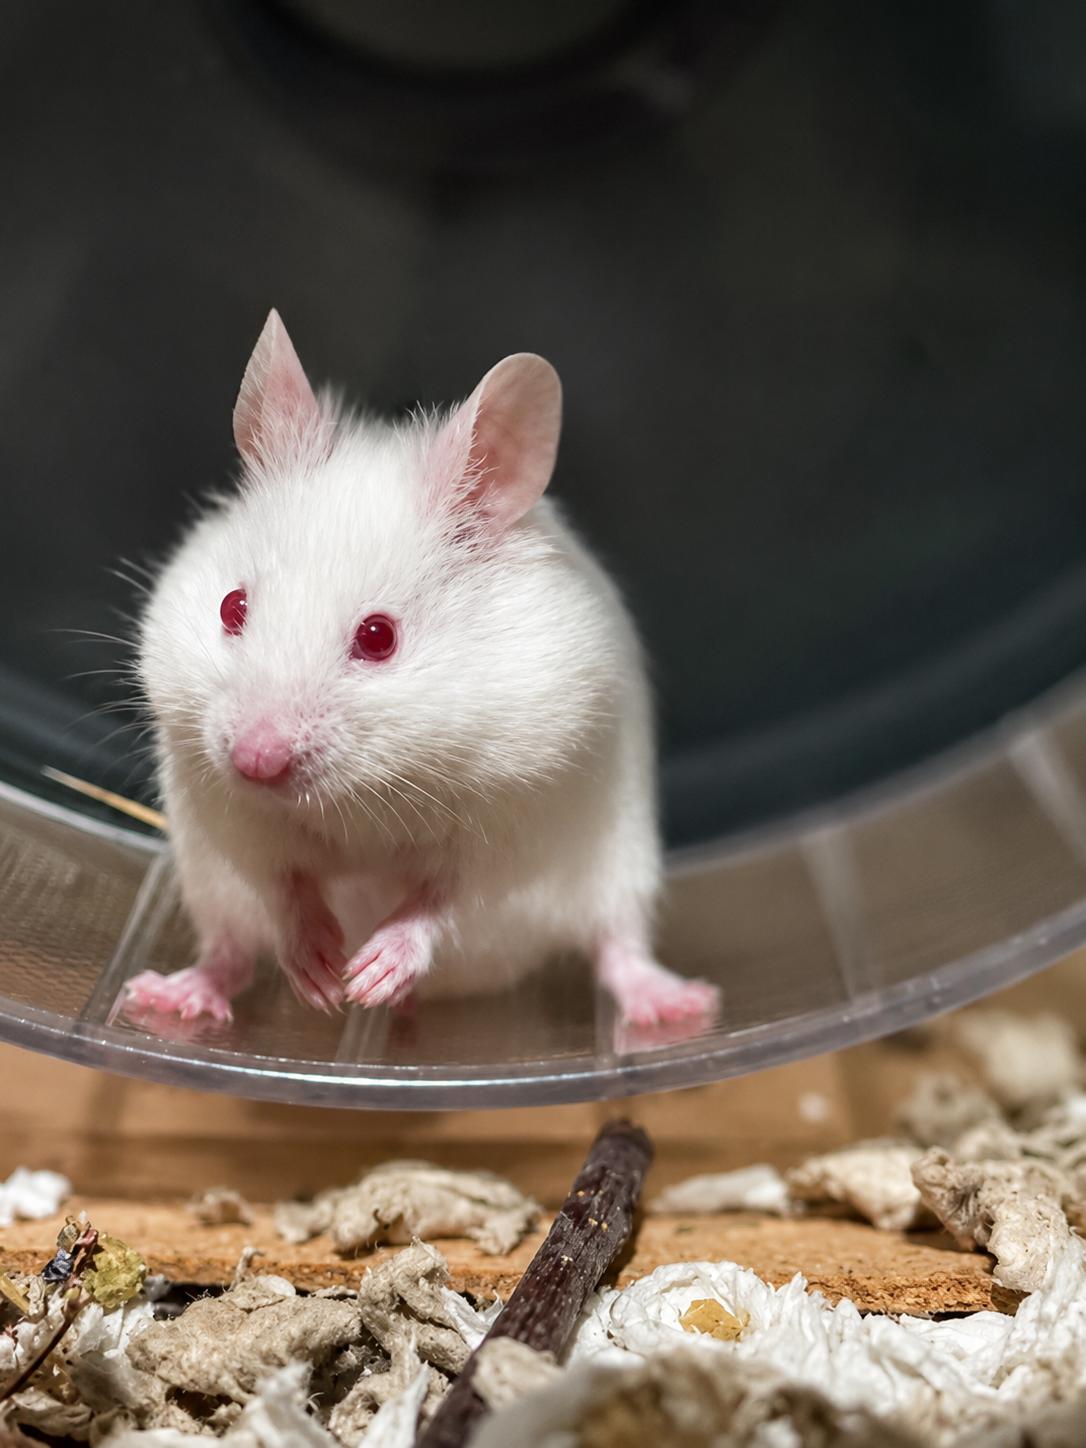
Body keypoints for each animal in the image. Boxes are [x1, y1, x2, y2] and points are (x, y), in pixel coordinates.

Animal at [126, 310, 719, 1028]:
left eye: (379, 637)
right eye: (231, 606)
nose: (253, 762)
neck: (367, 791)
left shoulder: (513, 816)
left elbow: (442, 897)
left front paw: (369, 975)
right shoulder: (237, 823)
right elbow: (285, 883)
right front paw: (322, 978)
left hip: (620, 872)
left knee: (618, 950)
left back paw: (684, 1007)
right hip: (208, 885)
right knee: (229, 954)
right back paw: (163, 996)